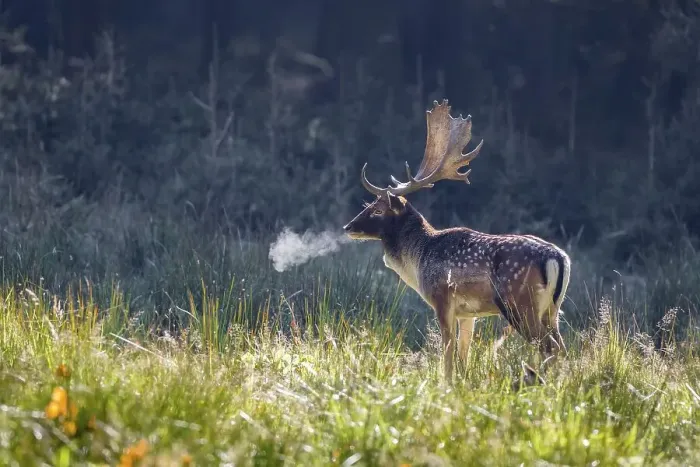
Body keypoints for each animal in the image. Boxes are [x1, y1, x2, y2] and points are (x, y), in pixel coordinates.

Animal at [342, 99, 571, 385]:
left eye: (377, 210)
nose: (348, 227)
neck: (419, 260)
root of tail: (558, 258)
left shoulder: (442, 299)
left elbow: (448, 356)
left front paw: (445, 386)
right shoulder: (468, 314)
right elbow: (464, 356)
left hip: (519, 303)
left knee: (549, 347)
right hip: (552, 309)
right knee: (562, 347)